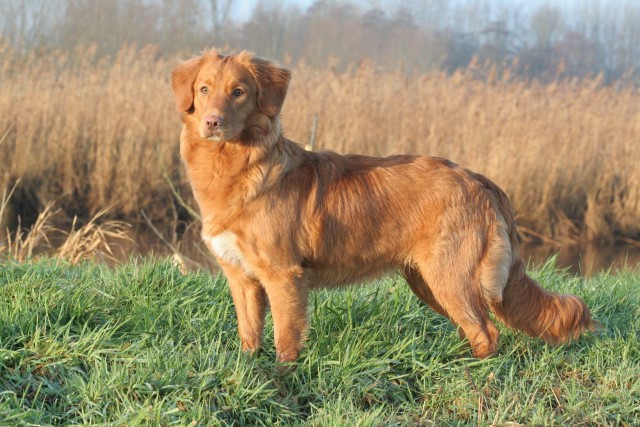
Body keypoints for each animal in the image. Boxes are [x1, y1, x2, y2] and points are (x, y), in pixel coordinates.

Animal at [170, 49, 596, 364]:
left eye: (239, 92)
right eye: (204, 89)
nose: (212, 122)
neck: (237, 165)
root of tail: (479, 179)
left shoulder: (283, 276)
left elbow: (285, 340)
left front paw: (281, 380)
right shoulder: (241, 277)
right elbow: (249, 334)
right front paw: (247, 373)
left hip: (450, 276)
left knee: (488, 332)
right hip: (427, 282)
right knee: (475, 328)